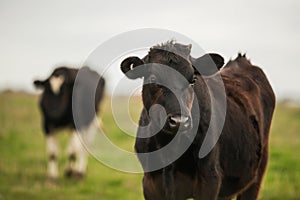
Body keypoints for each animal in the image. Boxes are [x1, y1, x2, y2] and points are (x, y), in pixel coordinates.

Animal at [120, 41, 276, 199]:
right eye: (153, 78)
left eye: (193, 79)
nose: (179, 121)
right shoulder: (150, 184)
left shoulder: (210, 179)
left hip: (257, 172)